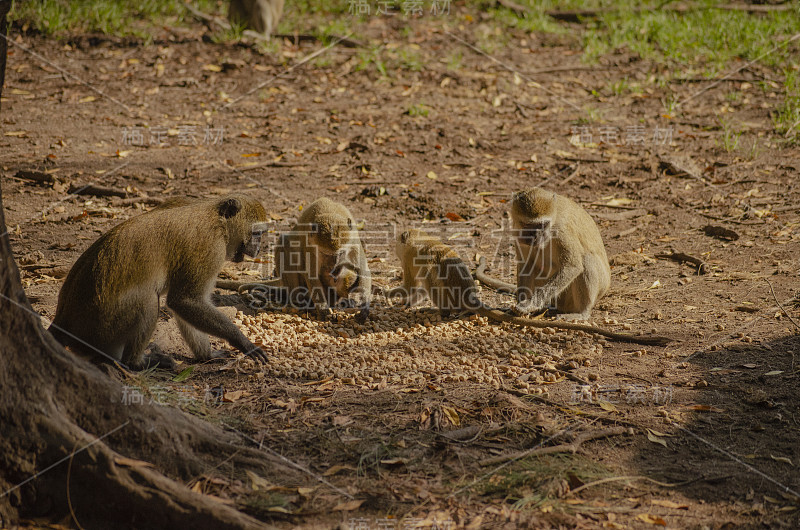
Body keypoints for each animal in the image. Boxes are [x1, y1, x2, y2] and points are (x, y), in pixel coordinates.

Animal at [52, 193, 272, 368]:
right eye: (257, 234)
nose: (259, 248)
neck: (217, 219)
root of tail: (62, 320)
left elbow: (183, 305)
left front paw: (207, 355)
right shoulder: (210, 249)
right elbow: (185, 300)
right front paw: (242, 341)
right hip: (102, 325)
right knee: (148, 300)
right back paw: (136, 363)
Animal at [388, 228, 668, 344]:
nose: (392, 246)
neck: (419, 238)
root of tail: (470, 297)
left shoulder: (410, 258)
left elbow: (414, 286)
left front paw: (392, 294)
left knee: (433, 277)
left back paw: (444, 312)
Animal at [476, 188, 612, 320]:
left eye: (542, 225)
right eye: (529, 225)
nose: (537, 236)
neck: (554, 217)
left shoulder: (562, 232)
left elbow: (572, 266)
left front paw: (529, 305)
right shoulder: (517, 232)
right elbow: (526, 265)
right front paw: (520, 305)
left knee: (587, 259)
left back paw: (583, 312)